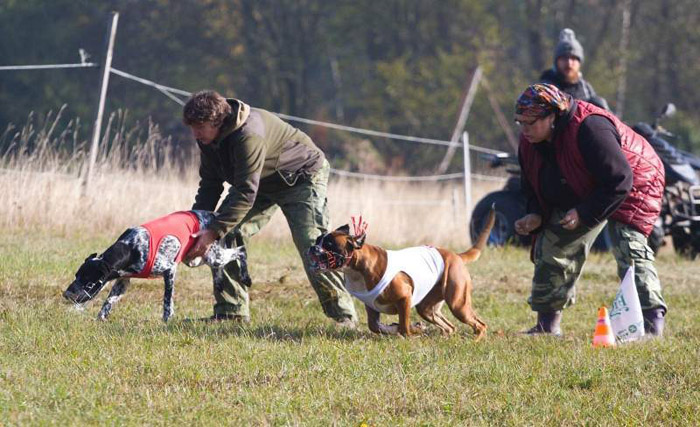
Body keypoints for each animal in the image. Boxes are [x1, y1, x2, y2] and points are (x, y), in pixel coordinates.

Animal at [63, 211, 249, 320]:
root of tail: (213, 214)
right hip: (196, 258)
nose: (66, 294)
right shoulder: (123, 281)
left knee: (241, 251)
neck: (130, 247)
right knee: (218, 266)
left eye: (89, 282)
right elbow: (108, 302)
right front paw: (100, 319)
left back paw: (246, 276)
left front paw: (167, 319)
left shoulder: (169, 270)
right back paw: (218, 282)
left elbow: (167, 300)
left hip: (212, 255)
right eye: (76, 276)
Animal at [308, 209, 498, 340]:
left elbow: (404, 327)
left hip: (458, 304)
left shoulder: (404, 298)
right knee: (450, 326)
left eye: (330, 244)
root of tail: (455, 255)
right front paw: (398, 329)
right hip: (427, 308)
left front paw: (414, 331)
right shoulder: (372, 306)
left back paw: (475, 341)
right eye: (318, 240)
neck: (357, 267)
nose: (313, 247)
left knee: (480, 325)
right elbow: (375, 326)